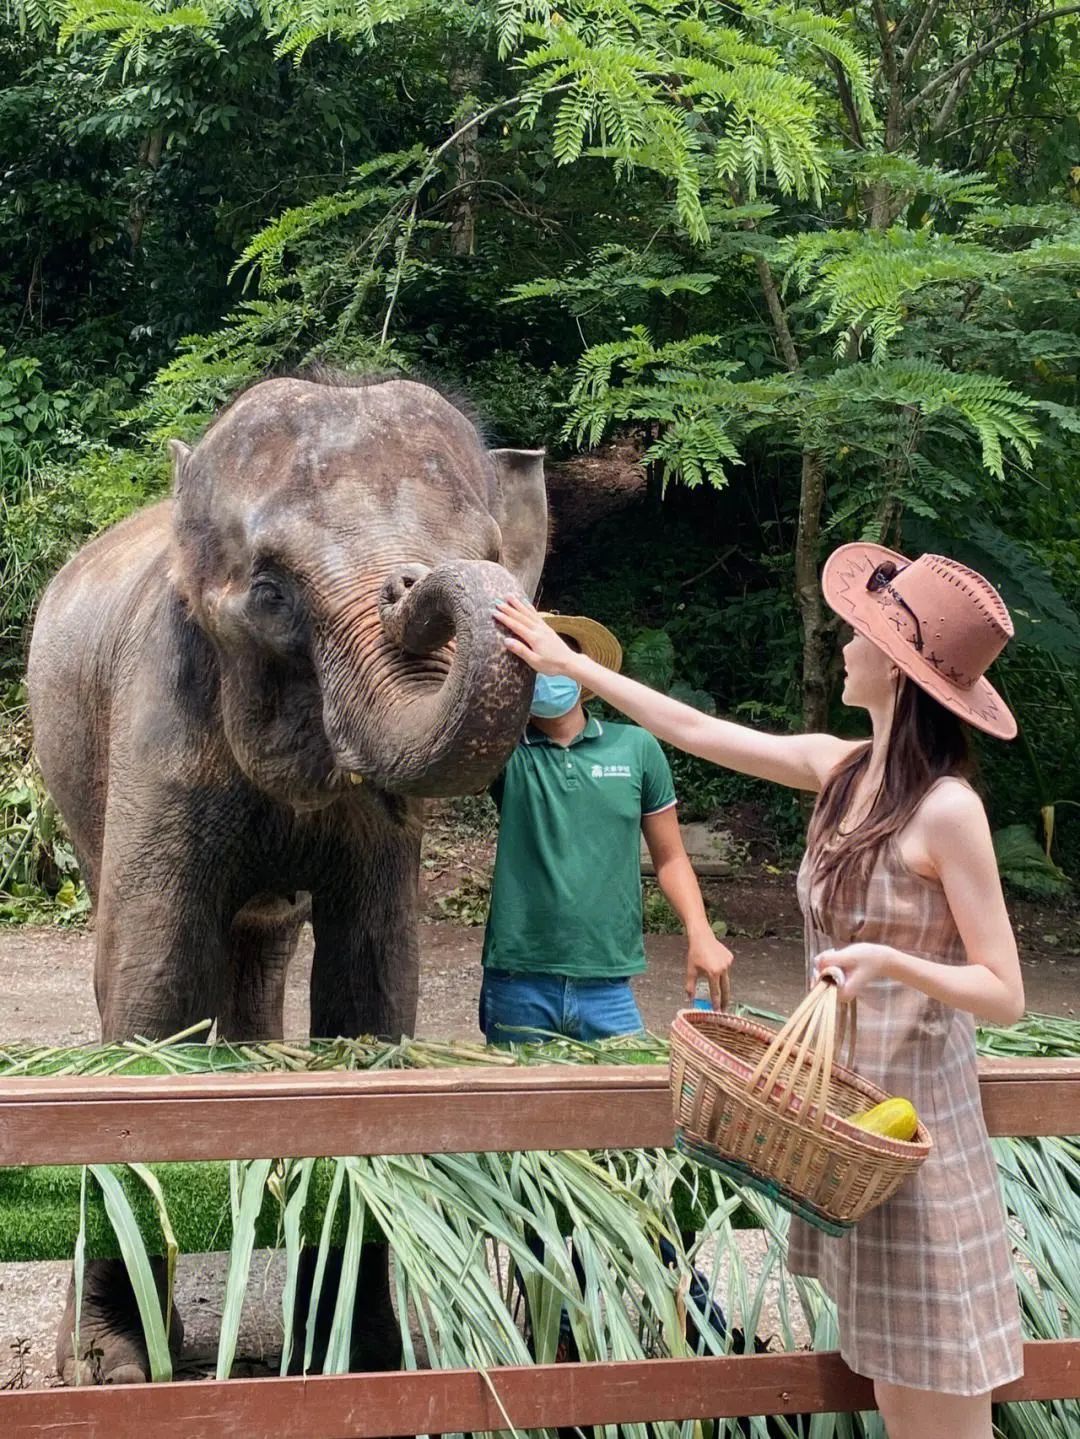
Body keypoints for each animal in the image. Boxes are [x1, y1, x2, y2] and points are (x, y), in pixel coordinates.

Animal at [27, 371, 549, 1381]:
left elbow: (370, 986)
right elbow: (154, 981)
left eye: (488, 554)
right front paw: (114, 1362)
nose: (414, 586)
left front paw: (361, 1354)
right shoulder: (160, 711)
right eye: (270, 590)